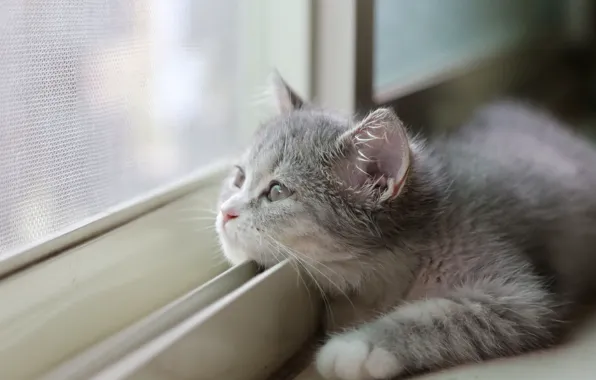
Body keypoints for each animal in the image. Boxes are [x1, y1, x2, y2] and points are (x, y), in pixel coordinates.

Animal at [217, 75, 596, 380]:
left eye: (277, 192)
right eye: (238, 177)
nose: (225, 212)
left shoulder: (517, 295)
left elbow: (443, 317)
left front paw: (357, 348)